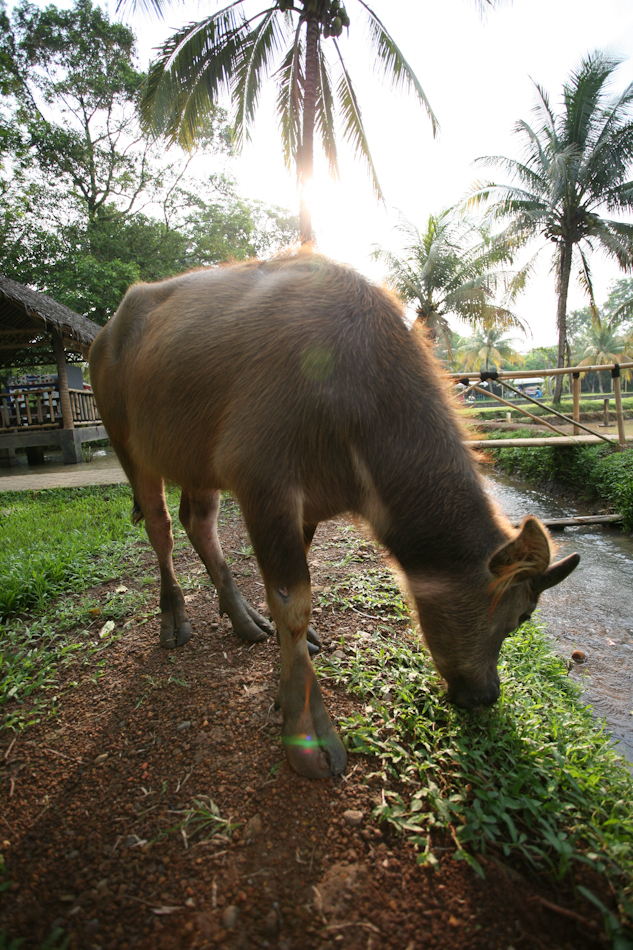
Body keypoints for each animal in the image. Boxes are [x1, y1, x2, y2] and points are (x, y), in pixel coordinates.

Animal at [89, 251, 576, 780]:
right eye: (522, 615)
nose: (487, 695)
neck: (357, 396)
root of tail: (107, 331)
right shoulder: (264, 484)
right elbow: (293, 604)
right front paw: (308, 729)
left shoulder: (307, 507)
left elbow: (291, 601)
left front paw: (292, 652)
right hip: (127, 444)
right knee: (160, 527)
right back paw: (174, 617)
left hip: (196, 461)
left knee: (199, 523)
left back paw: (243, 618)